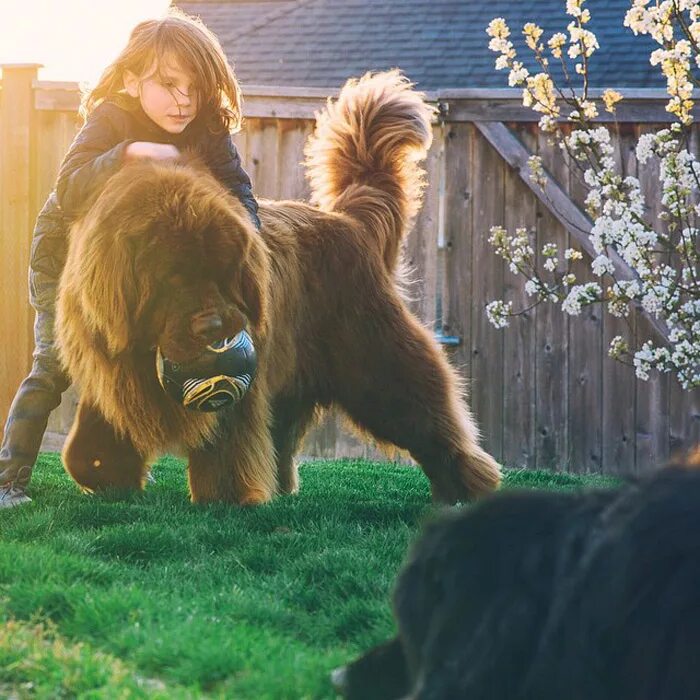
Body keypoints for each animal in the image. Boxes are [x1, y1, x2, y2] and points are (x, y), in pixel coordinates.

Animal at [57, 72, 500, 504]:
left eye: (223, 273)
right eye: (172, 277)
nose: (214, 328)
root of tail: (350, 222)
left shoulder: (240, 383)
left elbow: (229, 442)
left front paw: (229, 498)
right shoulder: (112, 365)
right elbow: (93, 438)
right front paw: (106, 474)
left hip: (375, 360)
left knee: (424, 414)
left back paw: (462, 486)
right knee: (283, 433)